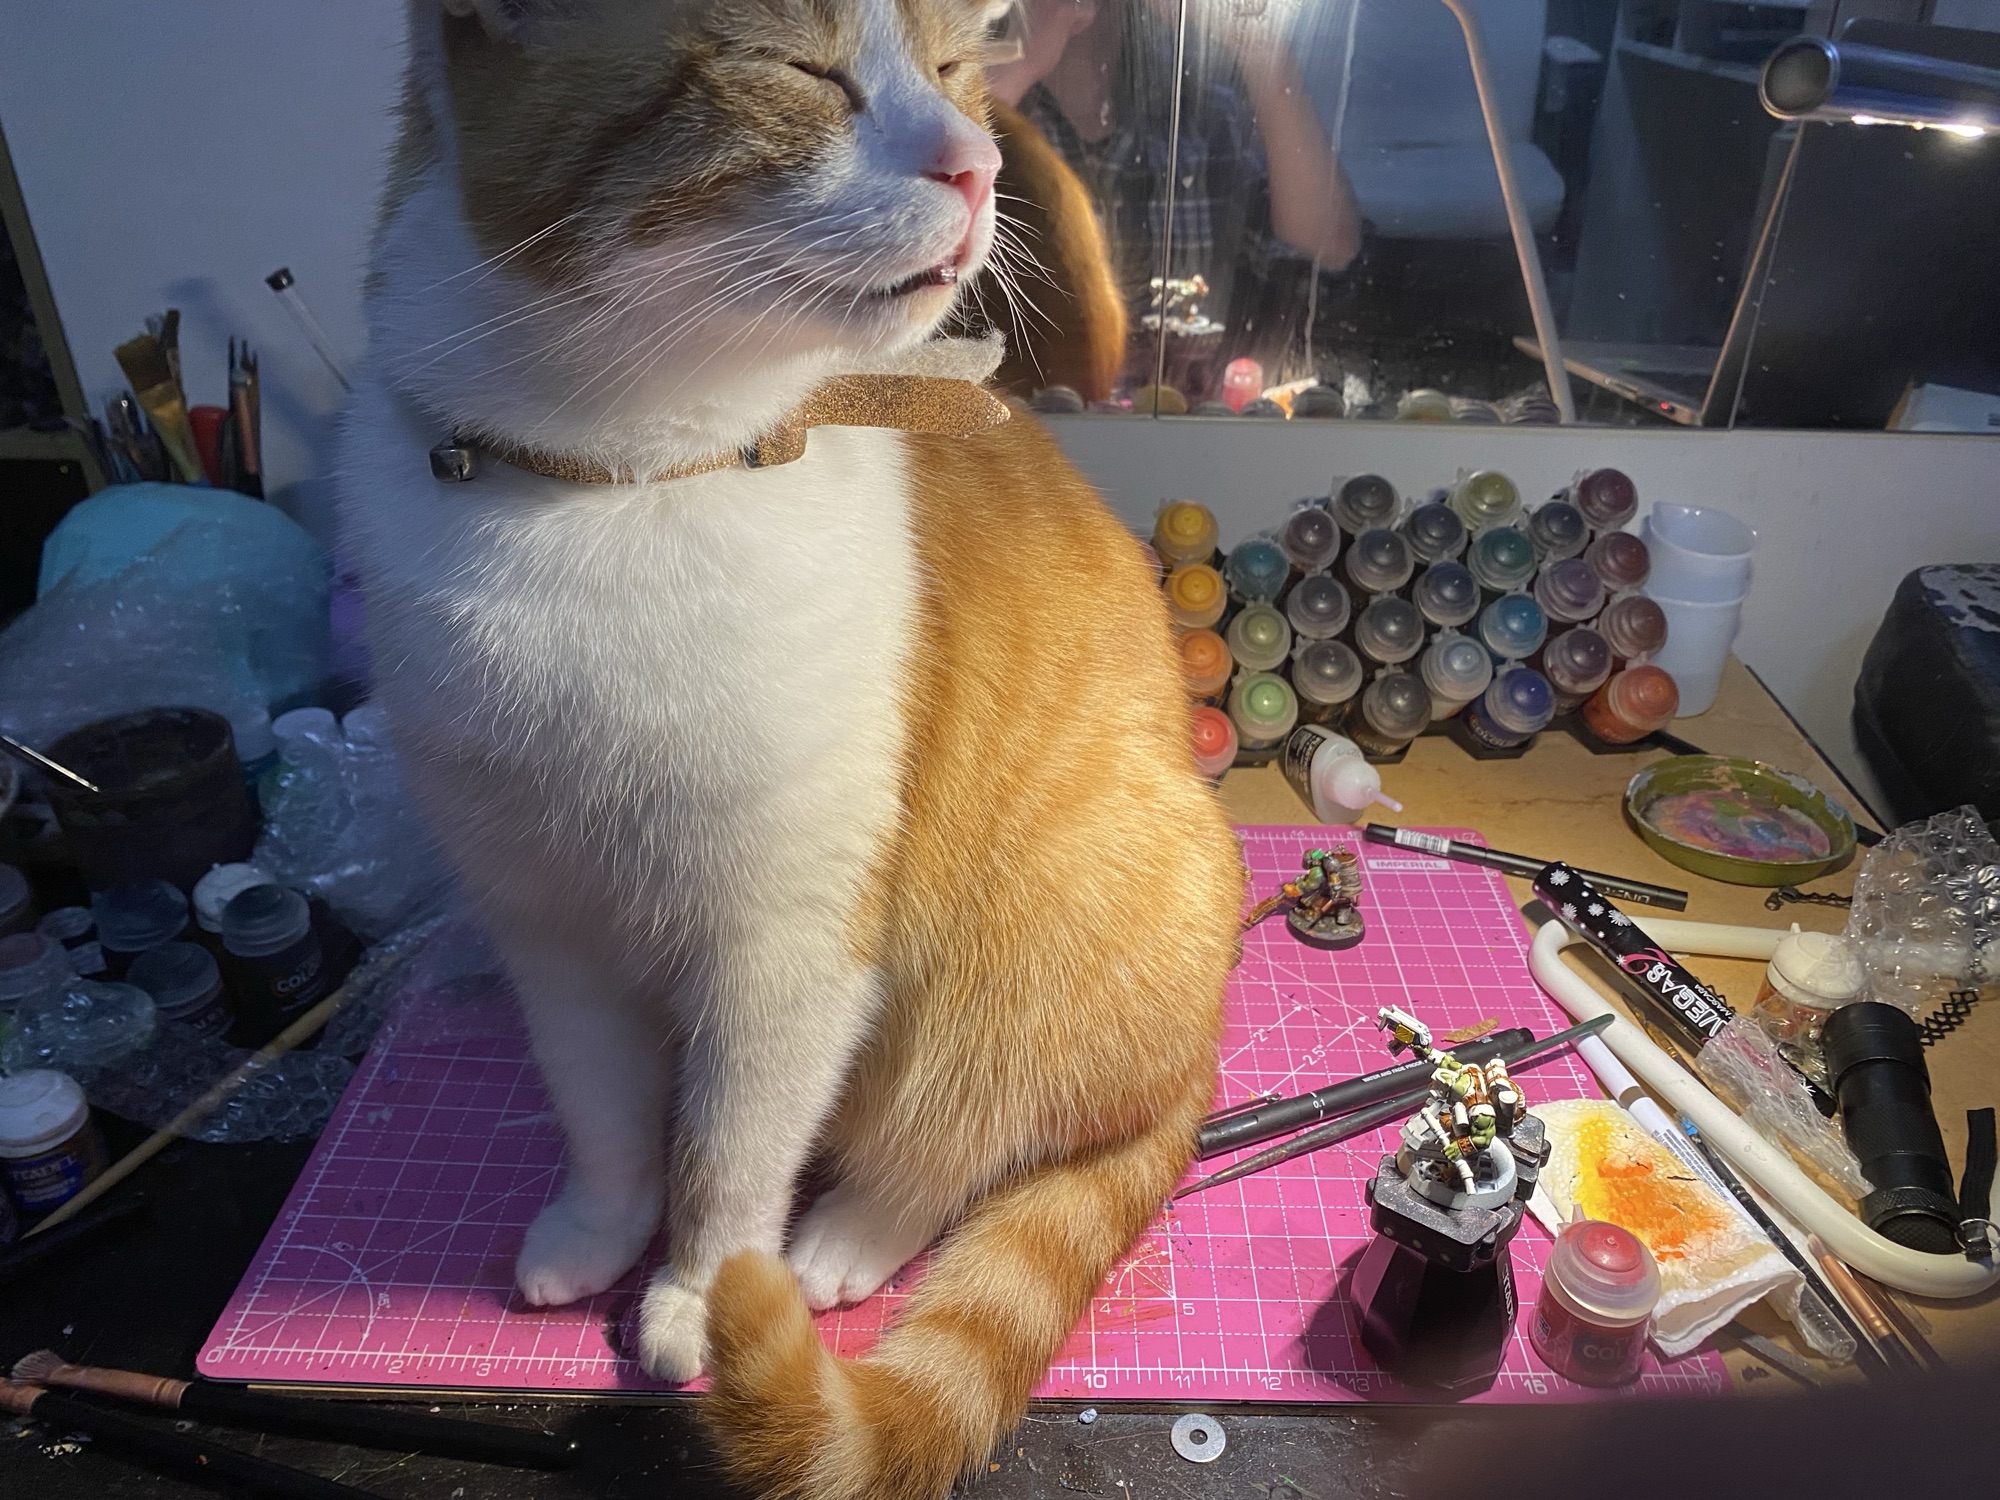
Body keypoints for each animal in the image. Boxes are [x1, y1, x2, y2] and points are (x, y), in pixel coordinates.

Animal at [341, 3, 1242, 1496]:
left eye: (951, 68)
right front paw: (601, 1231)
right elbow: (601, 1109)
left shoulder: (787, 944)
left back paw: (837, 1247)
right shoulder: (547, 924)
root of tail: (1200, 1056)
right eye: (798, 68)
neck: (628, 488)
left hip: (1058, 915)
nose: (981, 164)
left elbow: (731, 1149)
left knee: (960, 1140)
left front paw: (703, 1294)